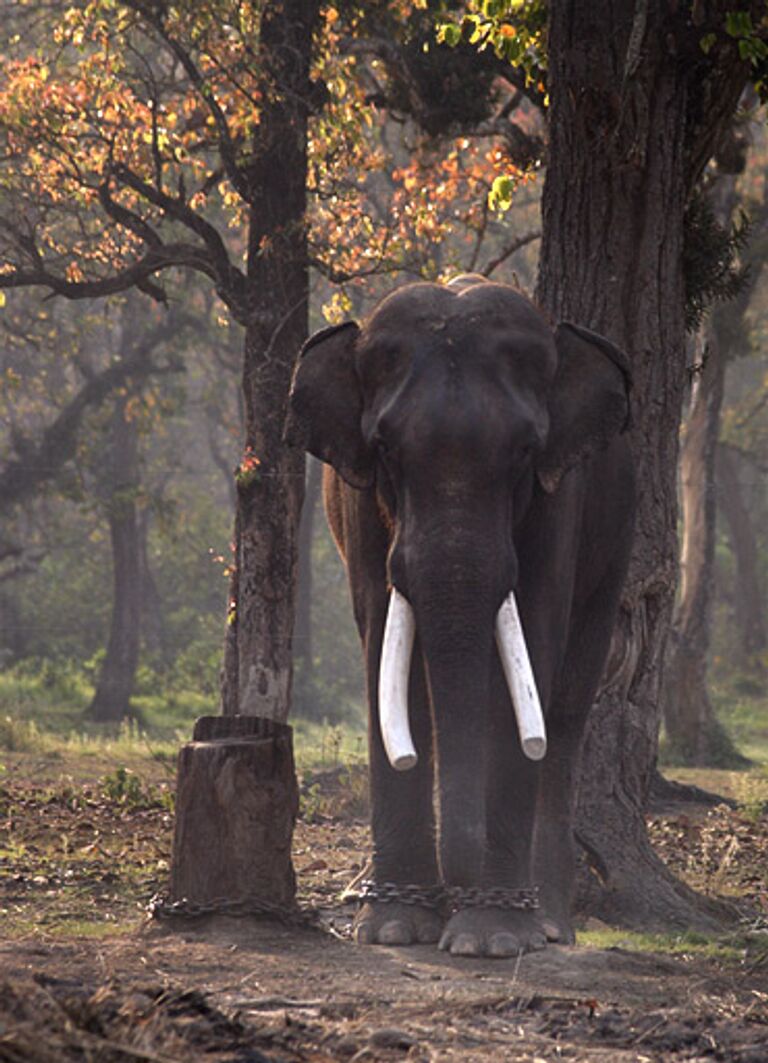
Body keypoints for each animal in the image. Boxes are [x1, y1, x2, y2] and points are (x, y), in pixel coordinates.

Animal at [285, 278, 629, 960]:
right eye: (385, 449)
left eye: (525, 451)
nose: (456, 887)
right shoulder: (360, 504)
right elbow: (381, 650)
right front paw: (392, 930)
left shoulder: (561, 495)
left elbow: (533, 646)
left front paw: (491, 941)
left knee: (567, 709)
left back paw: (550, 924)